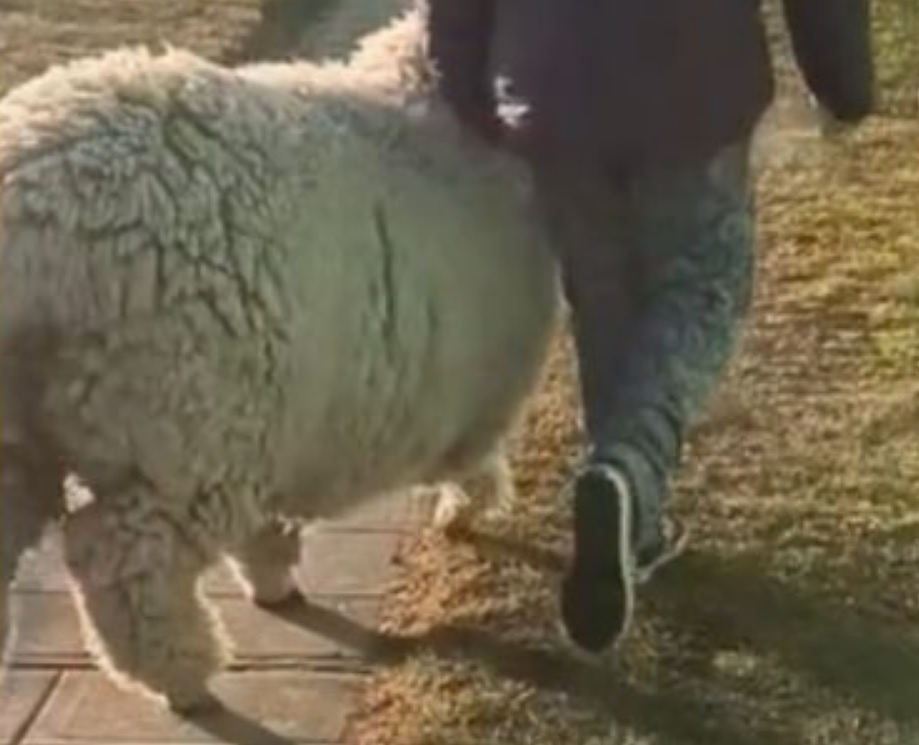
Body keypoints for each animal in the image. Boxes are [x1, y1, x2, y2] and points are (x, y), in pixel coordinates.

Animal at [0, 9, 559, 712]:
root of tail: (28, 211)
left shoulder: (287, 412)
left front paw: (271, 571)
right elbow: (473, 453)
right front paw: (468, 506)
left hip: (49, 435)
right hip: (184, 426)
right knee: (125, 565)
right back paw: (185, 675)